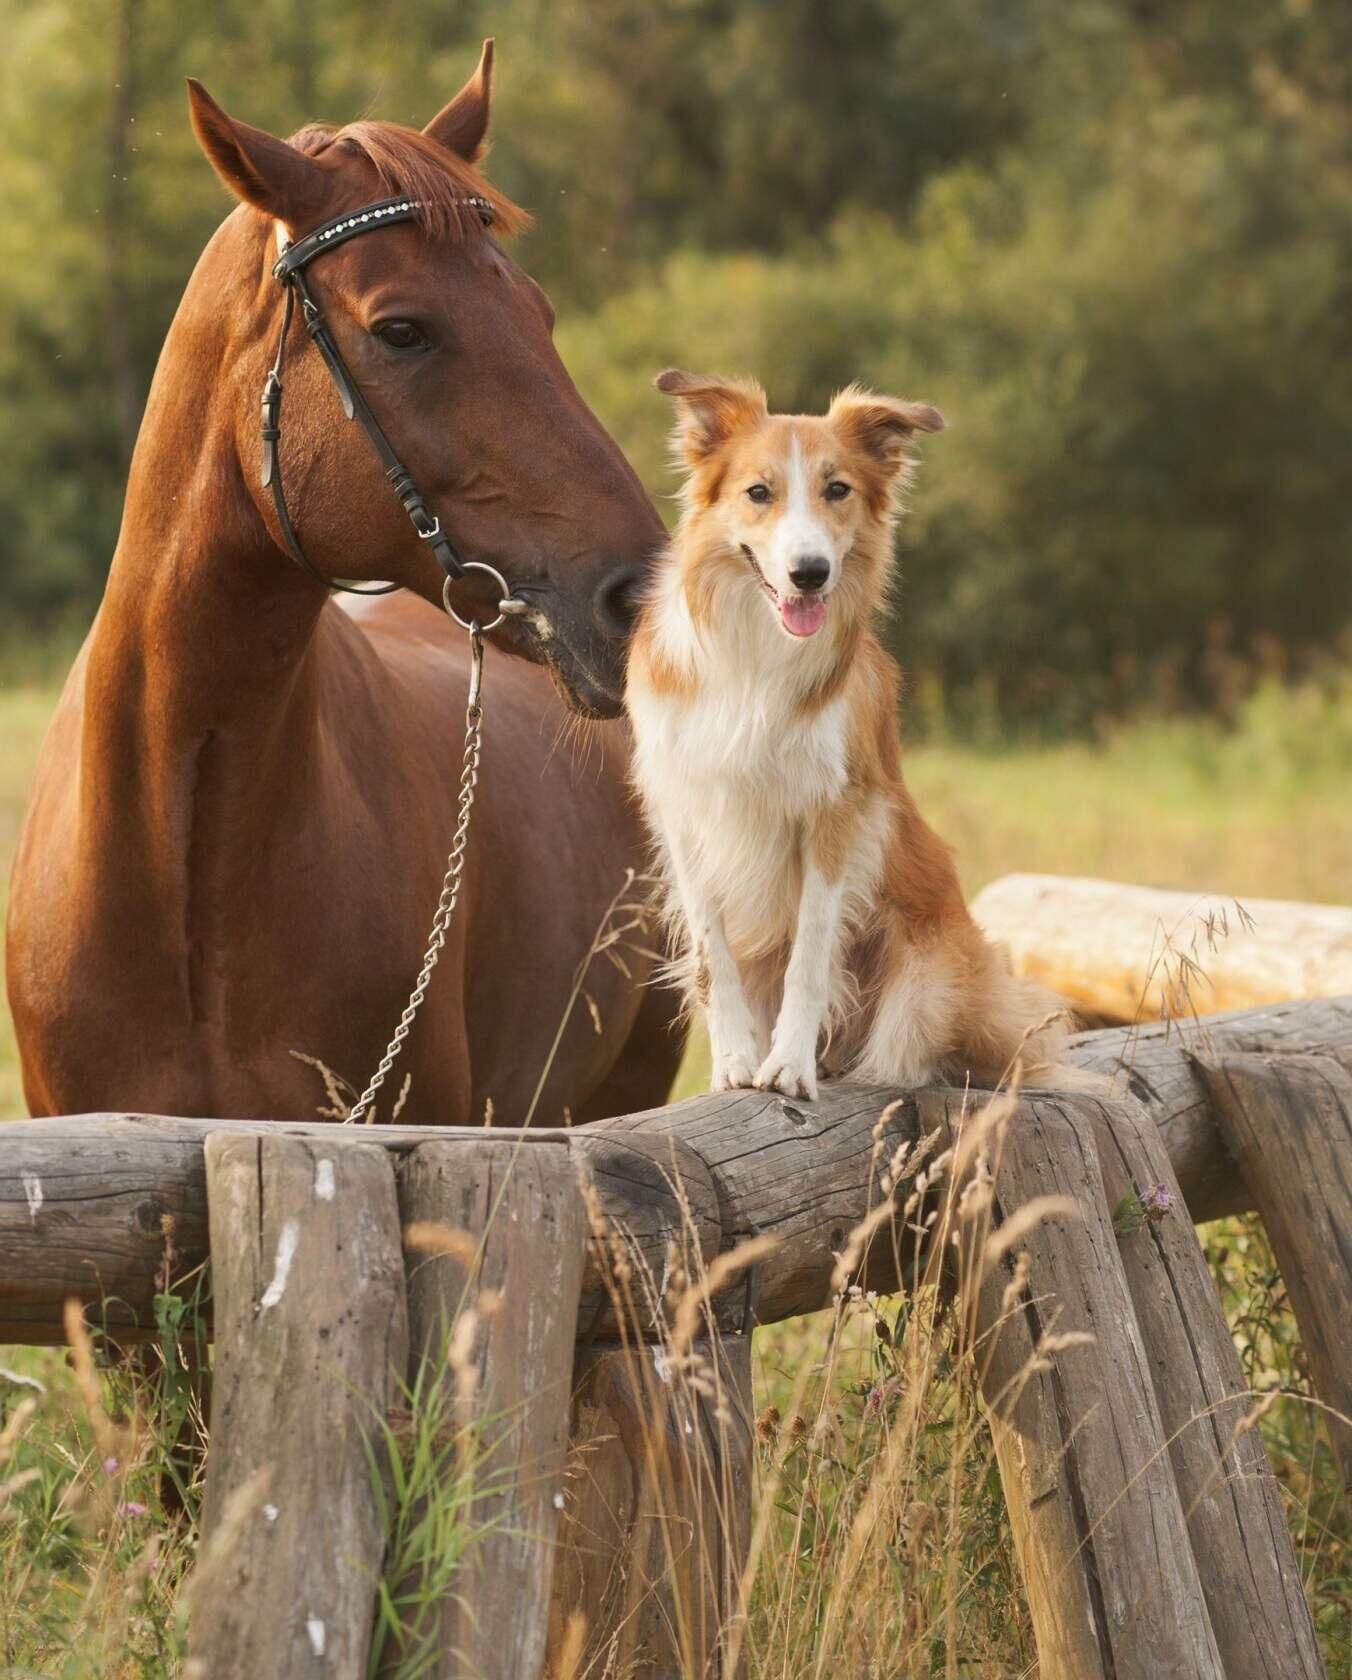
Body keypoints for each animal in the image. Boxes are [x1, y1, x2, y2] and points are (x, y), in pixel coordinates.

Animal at [628, 372, 1068, 1095]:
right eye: (758, 492)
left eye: (838, 490)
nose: (810, 572)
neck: (758, 654)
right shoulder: (686, 811)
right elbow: (714, 955)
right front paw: (735, 1062)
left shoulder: (838, 812)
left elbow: (810, 954)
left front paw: (789, 1064)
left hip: (929, 984)